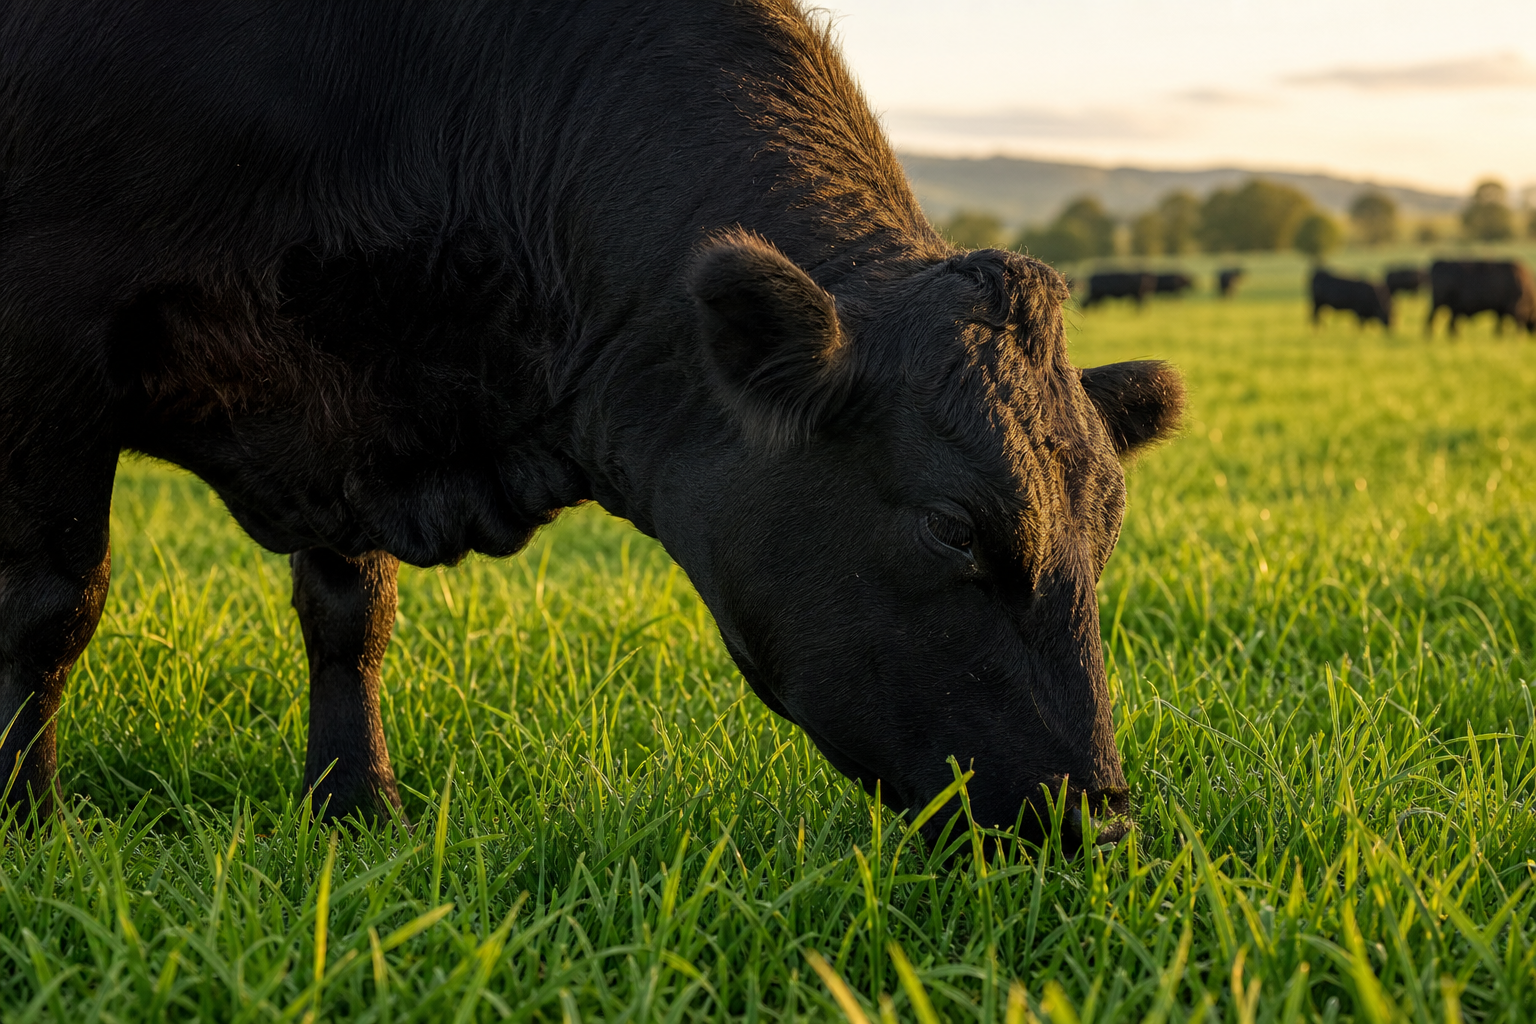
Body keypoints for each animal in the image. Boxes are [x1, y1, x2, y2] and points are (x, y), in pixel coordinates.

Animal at [0, 0, 1183, 850]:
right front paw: (29, 823)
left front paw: (357, 806)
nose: (1100, 821)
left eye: (1108, 533)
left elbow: (348, 616)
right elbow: (51, 607)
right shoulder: (46, 337)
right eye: (951, 526)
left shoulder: (343, 419)